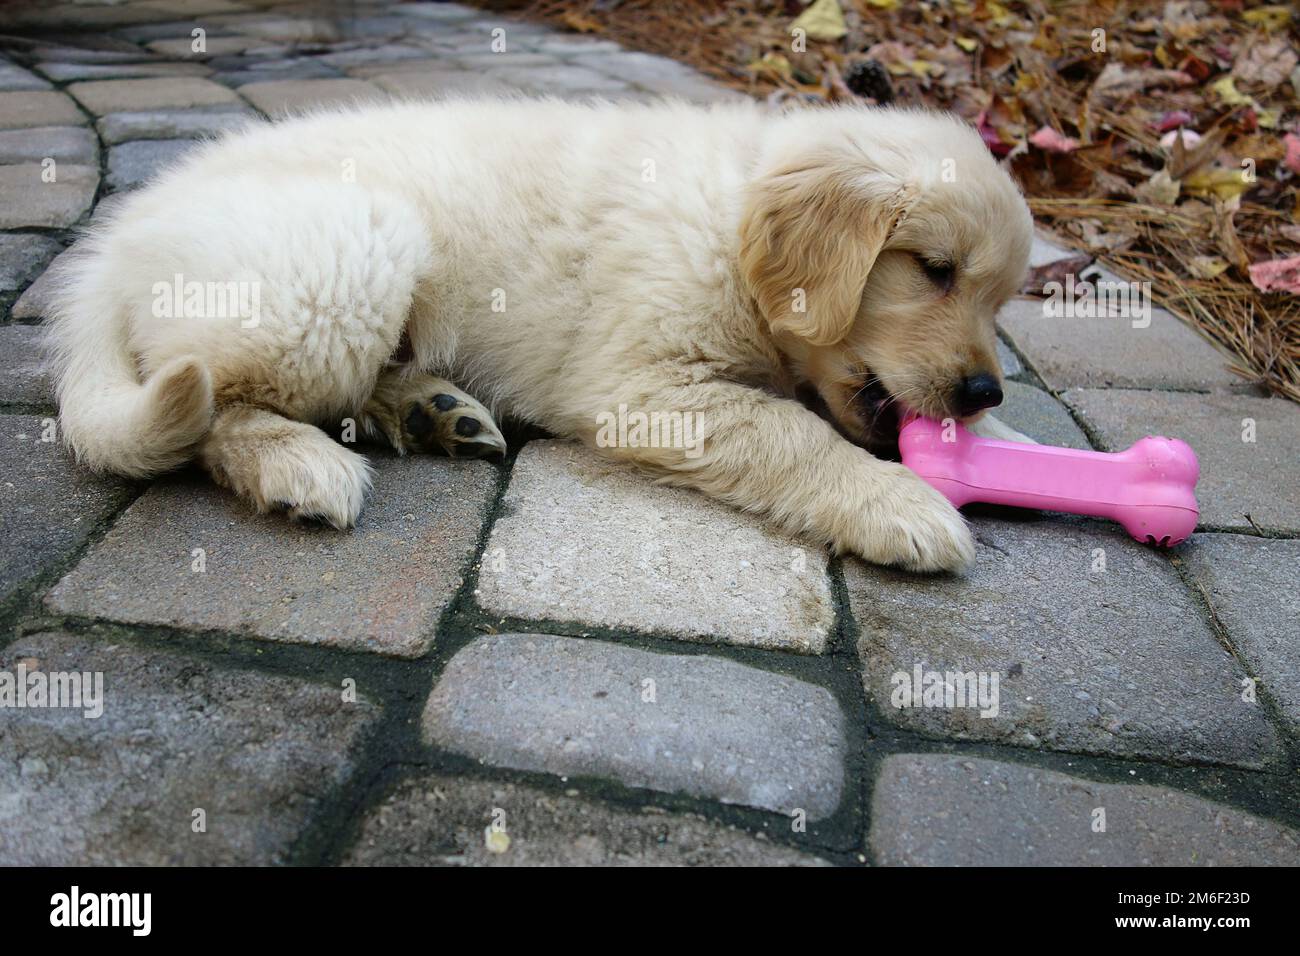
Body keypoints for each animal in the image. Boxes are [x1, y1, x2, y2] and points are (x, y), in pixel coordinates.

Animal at [45, 100, 1029, 572]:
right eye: (933, 269)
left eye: (1002, 301)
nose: (985, 388)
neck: (729, 220)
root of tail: (114, 245)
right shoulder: (643, 383)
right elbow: (792, 433)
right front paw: (900, 503)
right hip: (354, 252)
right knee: (215, 403)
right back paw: (299, 463)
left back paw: (430, 411)